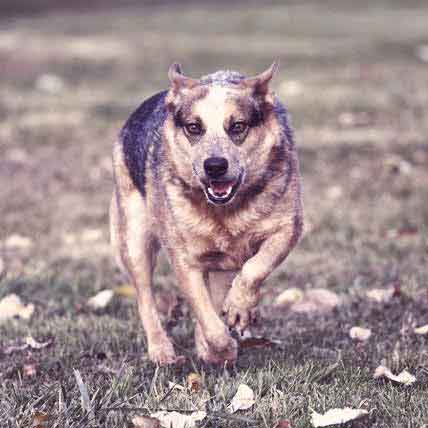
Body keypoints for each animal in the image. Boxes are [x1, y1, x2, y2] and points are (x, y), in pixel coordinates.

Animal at [110, 62, 304, 364]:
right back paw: (161, 349)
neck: (225, 213)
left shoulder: (288, 228)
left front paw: (239, 308)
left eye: (237, 126)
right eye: (194, 127)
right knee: (145, 296)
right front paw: (221, 348)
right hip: (134, 238)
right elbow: (207, 317)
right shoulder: (185, 261)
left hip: (222, 264)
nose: (214, 165)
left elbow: (255, 268)